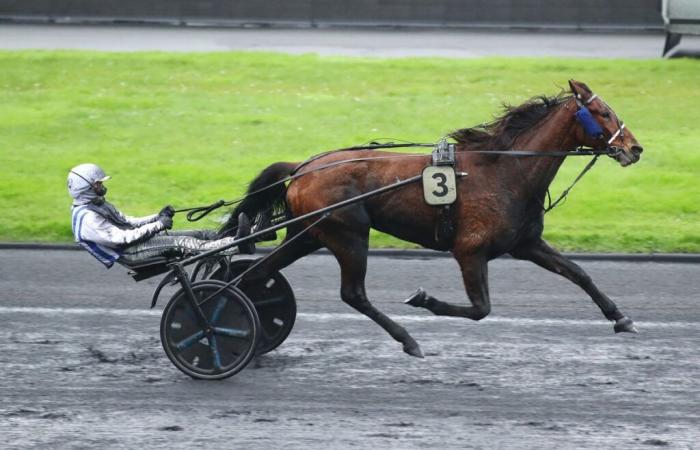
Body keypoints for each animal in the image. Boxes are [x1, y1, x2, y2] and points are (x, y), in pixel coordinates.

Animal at [221, 79, 644, 356]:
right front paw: (424, 298)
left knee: (258, 273)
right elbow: (480, 309)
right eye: (603, 112)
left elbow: (578, 273)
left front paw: (620, 317)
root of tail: (302, 167)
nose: (635, 148)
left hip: (310, 233)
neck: (506, 170)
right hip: (348, 233)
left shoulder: (526, 243)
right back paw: (407, 339)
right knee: (353, 293)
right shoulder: (470, 250)